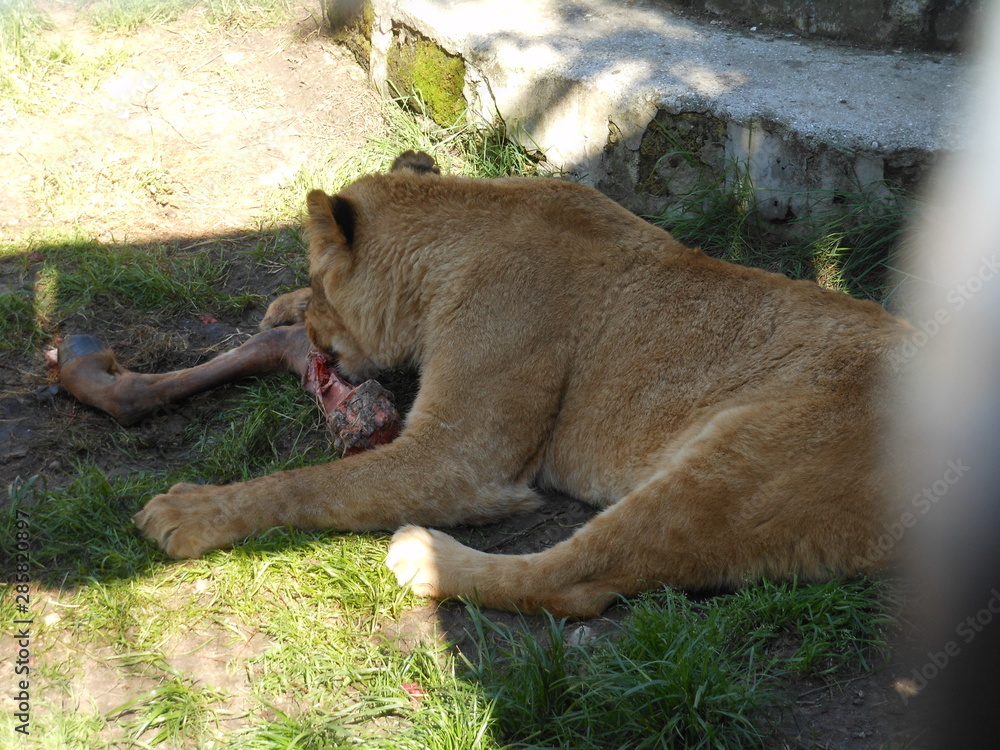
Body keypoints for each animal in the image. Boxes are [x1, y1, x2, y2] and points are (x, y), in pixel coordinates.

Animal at [134, 150, 910, 617]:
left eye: (328, 287)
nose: (319, 341)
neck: (467, 227)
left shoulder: (459, 457)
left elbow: (306, 485)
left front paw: (191, 510)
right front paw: (282, 308)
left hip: (739, 458)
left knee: (575, 584)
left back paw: (425, 559)